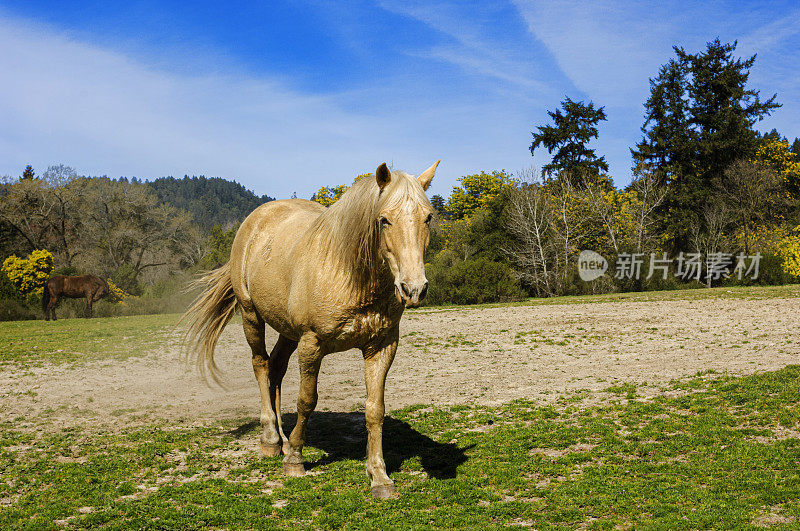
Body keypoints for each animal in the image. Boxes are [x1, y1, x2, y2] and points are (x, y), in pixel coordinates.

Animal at [181, 161, 438, 498]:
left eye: (428, 217)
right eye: (384, 219)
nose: (413, 289)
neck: (348, 273)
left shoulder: (382, 346)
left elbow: (374, 409)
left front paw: (379, 477)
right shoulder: (311, 343)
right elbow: (307, 400)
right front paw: (294, 459)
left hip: (287, 330)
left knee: (275, 368)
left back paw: (280, 435)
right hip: (252, 316)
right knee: (261, 365)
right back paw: (271, 439)